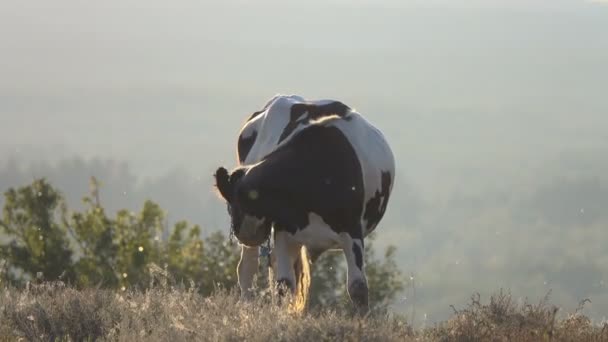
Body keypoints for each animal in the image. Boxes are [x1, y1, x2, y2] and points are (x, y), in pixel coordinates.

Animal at [213, 94, 394, 316]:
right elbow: (283, 284)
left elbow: (358, 287)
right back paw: (247, 307)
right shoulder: (283, 230)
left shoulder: (352, 231)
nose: (242, 232)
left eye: (235, 203)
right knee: (248, 269)